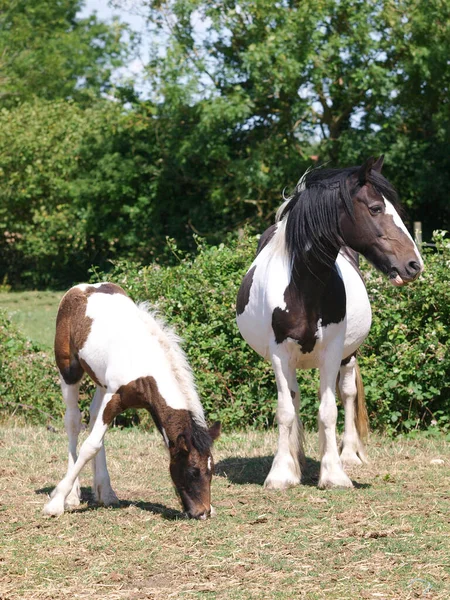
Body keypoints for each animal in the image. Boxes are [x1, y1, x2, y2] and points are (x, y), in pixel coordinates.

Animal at [44, 284, 221, 516]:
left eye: (212, 469)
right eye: (193, 471)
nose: (203, 513)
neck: (145, 367)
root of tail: (82, 288)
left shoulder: (110, 394)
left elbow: (96, 440)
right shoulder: (114, 397)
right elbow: (90, 446)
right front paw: (55, 503)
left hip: (100, 382)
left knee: (92, 418)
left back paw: (105, 492)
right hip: (69, 372)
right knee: (73, 422)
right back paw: (72, 495)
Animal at [237, 157, 424, 490]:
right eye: (375, 208)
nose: (414, 265)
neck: (302, 287)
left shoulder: (333, 352)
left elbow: (329, 410)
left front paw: (334, 473)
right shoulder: (279, 354)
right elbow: (285, 410)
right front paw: (281, 473)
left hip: (348, 355)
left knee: (347, 393)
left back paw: (348, 454)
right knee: (294, 397)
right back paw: (296, 458)